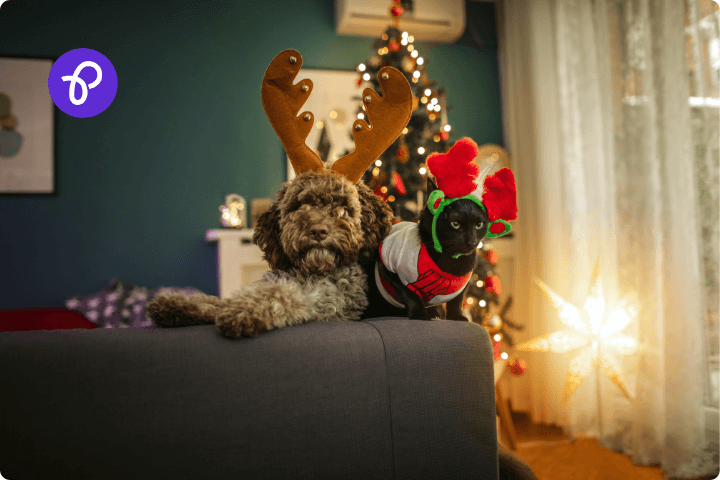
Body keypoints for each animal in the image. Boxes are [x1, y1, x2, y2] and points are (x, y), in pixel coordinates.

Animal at [360, 177, 490, 322]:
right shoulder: (388, 266)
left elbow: (457, 300)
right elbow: (411, 295)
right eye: (455, 224)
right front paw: (420, 314)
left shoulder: (463, 283)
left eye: (479, 225)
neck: (449, 259)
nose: (472, 242)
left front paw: (456, 316)